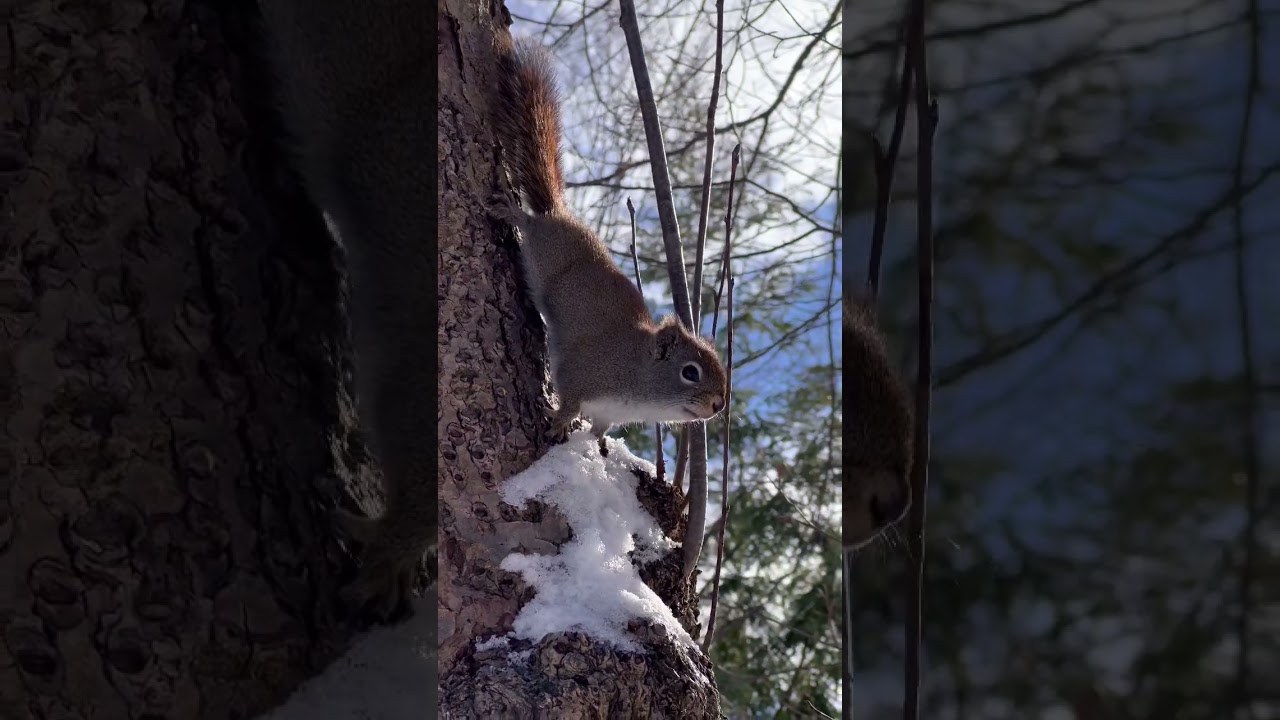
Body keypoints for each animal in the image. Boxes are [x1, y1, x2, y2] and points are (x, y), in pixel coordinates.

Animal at [487, 36, 728, 455]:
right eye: (690, 372)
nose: (718, 405)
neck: (639, 377)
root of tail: (562, 214)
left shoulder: (608, 413)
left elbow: (599, 428)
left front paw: (597, 448)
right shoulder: (582, 373)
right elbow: (569, 401)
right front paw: (560, 422)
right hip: (543, 247)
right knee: (532, 224)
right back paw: (513, 213)